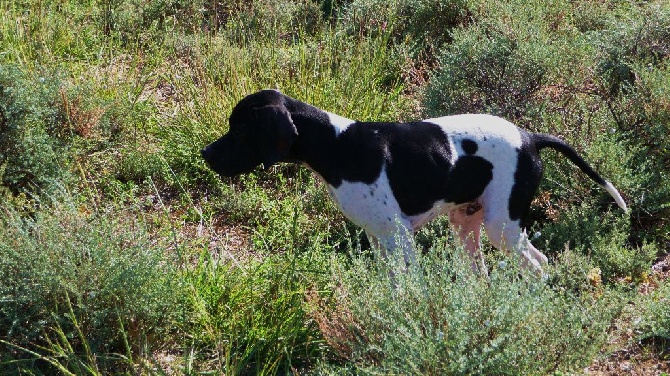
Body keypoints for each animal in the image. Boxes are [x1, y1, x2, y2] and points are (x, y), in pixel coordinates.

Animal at [201, 91, 632, 274]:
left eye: (240, 130)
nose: (205, 154)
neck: (336, 145)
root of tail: (530, 137)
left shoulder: (400, 240)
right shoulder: (379, 240)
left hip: (502, 227)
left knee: (539, 265)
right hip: (466, 225)